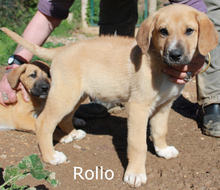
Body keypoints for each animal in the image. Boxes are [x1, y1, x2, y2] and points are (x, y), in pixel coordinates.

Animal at [0, 4, 217, 187]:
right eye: (163, 31)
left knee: (64, 118)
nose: (175, 55)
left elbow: (160, 131)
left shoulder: (164, 105)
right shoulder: (139, 107)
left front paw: (162, 150)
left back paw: (72, 134)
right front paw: (135, 174)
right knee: (43, 122)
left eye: (189, 31)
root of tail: (61, 49)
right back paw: (51, 157)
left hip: (77, 95)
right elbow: (138, 144)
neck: (158, 62)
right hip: (65, 95)